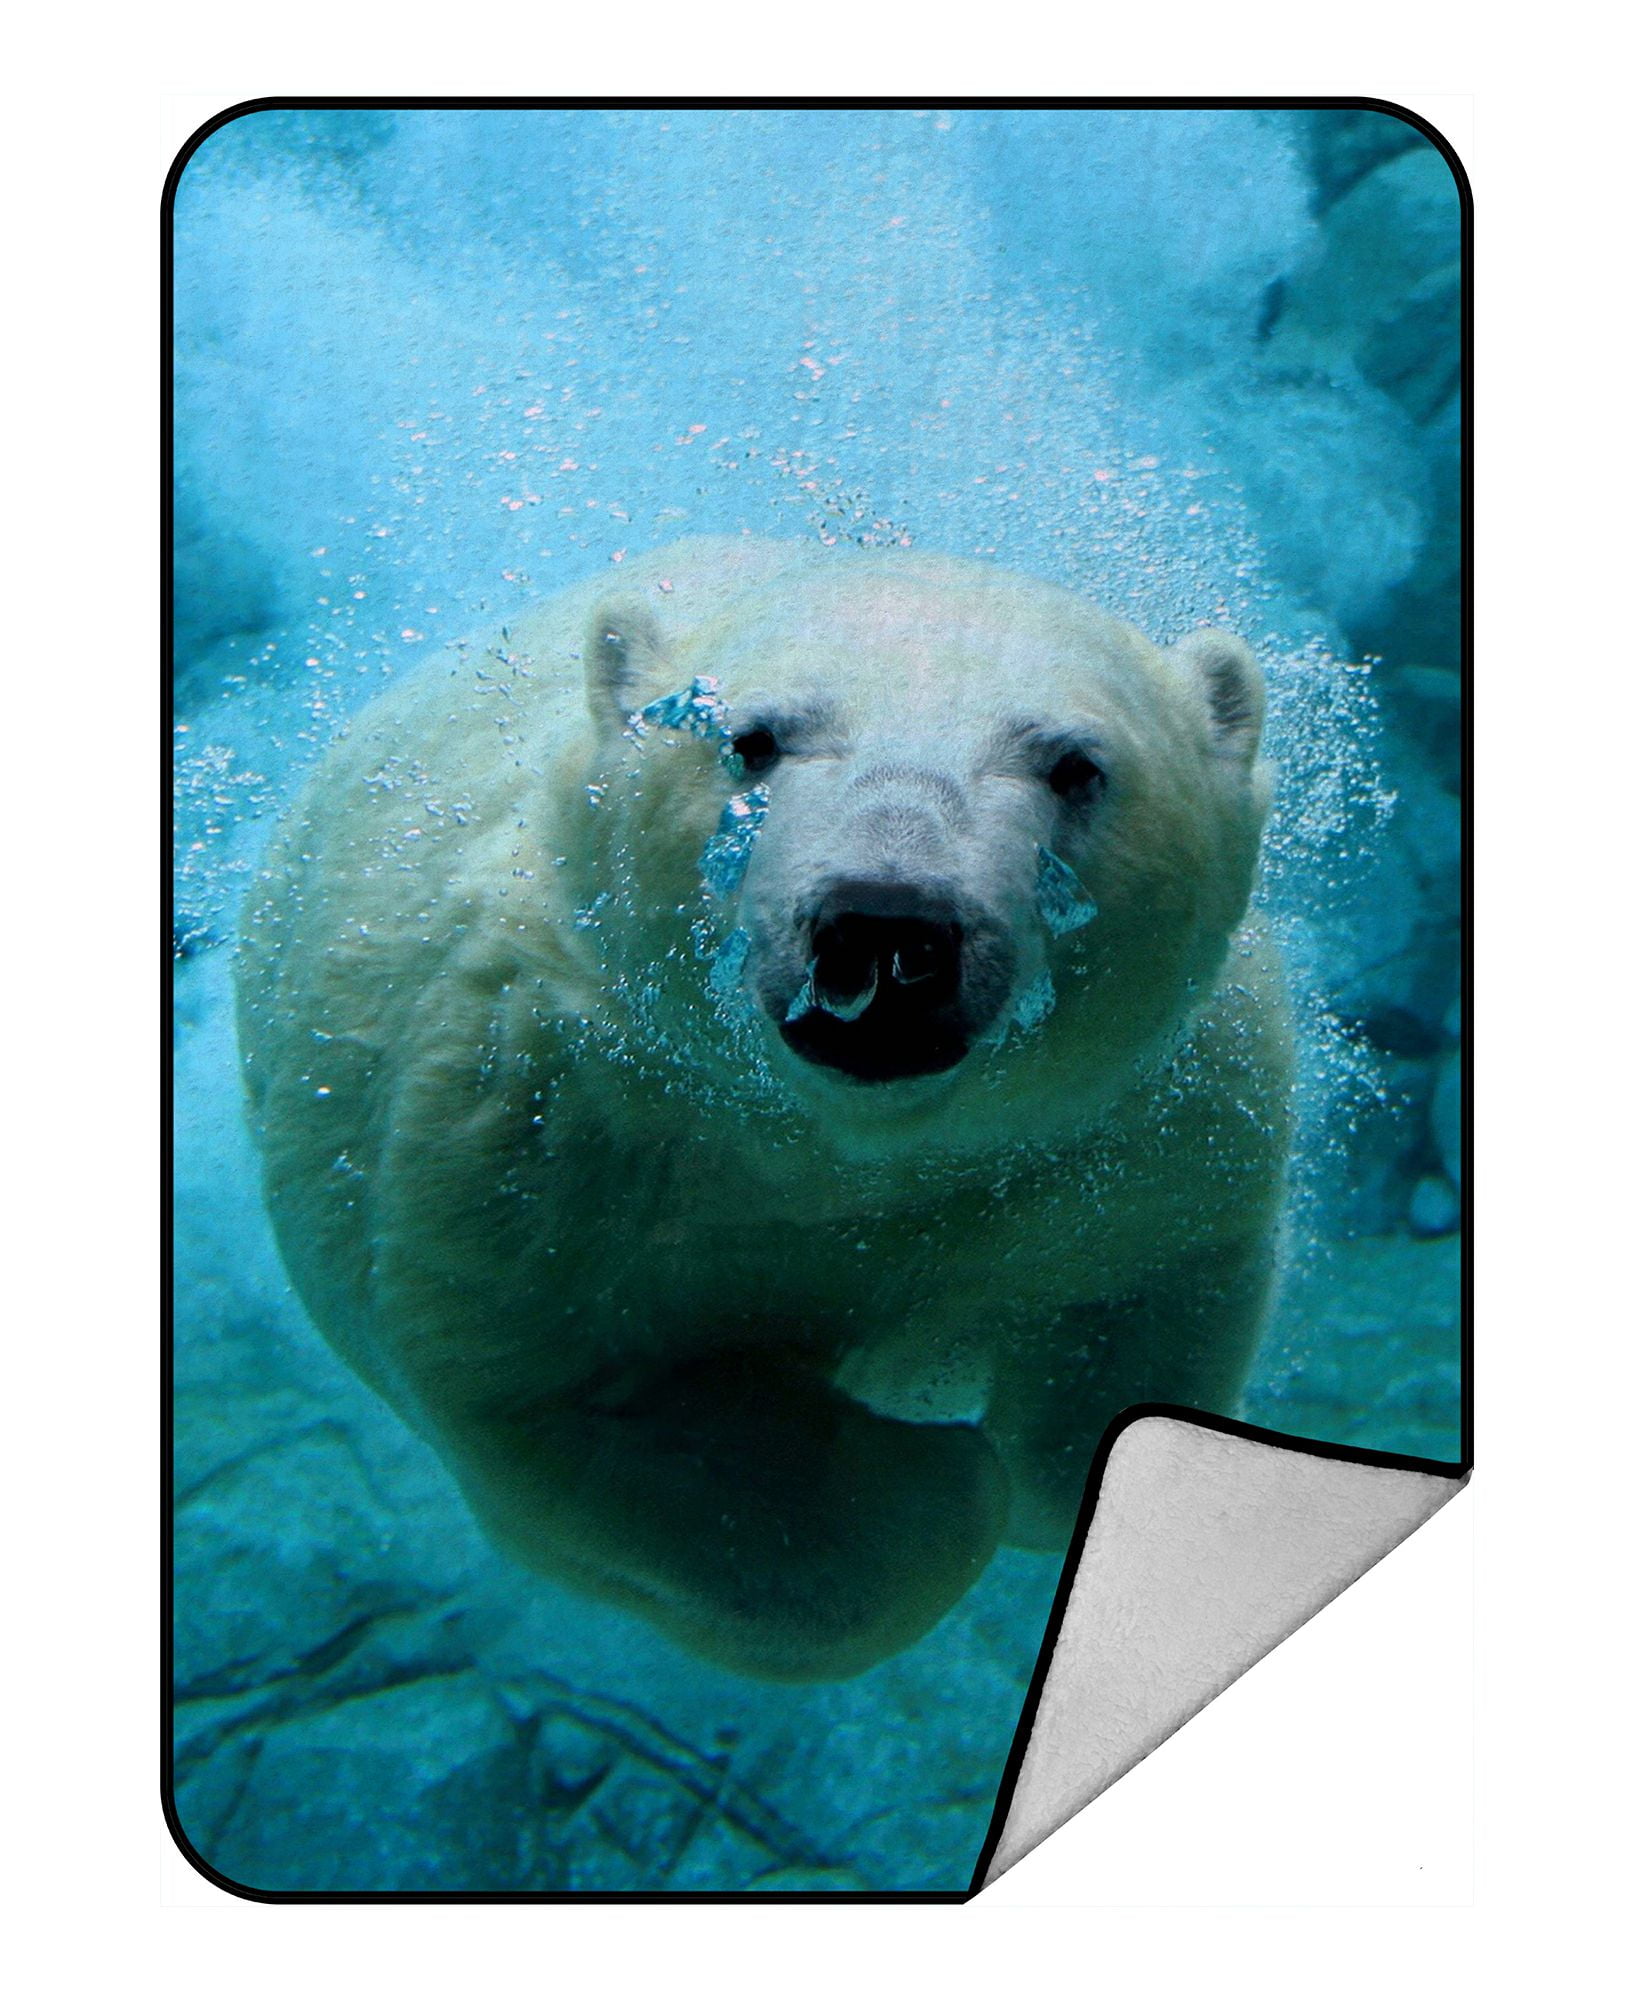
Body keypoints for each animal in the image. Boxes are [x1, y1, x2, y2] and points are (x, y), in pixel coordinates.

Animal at [236, 537, 1293, 1681]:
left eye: (1075, 765)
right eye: (750, 739)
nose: (888, 924)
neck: (845, 1147)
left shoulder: (1141, 1124)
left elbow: (1142, 1294)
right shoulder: (538, 1127)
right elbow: (571, 1401)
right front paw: (939, 1475)